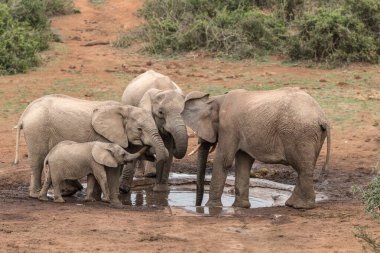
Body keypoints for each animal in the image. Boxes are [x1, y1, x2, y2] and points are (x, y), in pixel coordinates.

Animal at [14, 94, 168, 203]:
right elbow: (111, 169)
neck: (124, 109)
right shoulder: (103, 137)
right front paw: (111, 200)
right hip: (36, 130)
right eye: (139, 129)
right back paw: (36, 195)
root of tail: (26, 112)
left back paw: (67, 192)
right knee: (38, 161)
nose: (149, 148)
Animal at [181, 88, 330, 209]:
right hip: (312, 135)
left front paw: (212, 207)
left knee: (302, 167)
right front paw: (240, 207)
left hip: (299, 133)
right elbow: (243, 162)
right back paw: (292, 204)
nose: (197, 207)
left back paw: (302, 206)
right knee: (305, 167)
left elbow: (224, 161)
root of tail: (322, 117)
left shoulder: (228, 127)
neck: (216, 99)